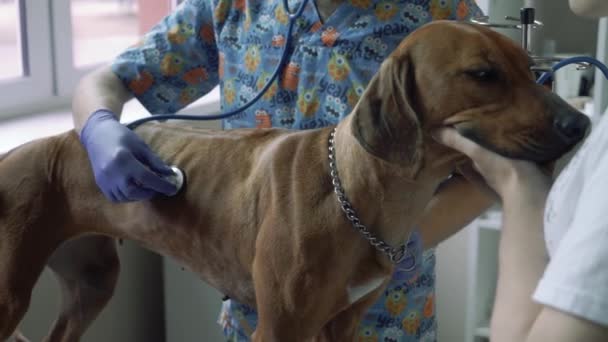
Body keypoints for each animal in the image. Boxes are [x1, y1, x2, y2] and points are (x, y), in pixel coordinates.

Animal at [0, 20, 588, 340]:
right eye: (483, 74)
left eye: (534, 68)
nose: (581, 125)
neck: (354, 189)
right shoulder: (281, 328)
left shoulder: (344, 325)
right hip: (12, 294)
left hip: (93, 281)